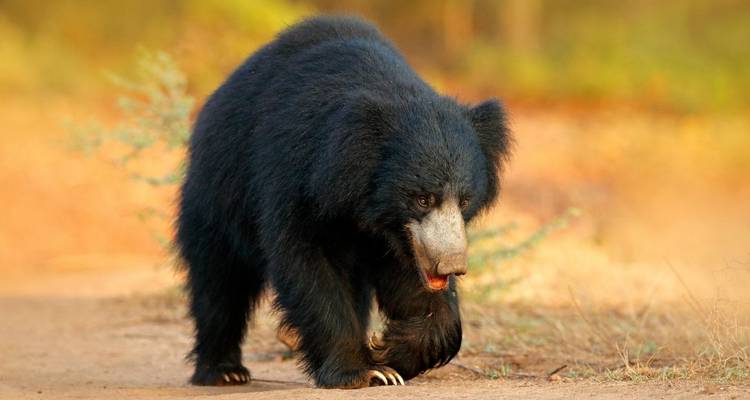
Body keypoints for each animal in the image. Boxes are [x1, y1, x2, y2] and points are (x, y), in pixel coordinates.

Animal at [176, 15, 512, 389]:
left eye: (464, 200)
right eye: (423, 198)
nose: (451, 265)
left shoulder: (400, 235)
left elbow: (412, 279)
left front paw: (390, 351)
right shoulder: (296, 177)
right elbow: (308, 264)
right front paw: (364, 371)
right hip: (215, 198)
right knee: (219, 283)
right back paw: (224, 371)